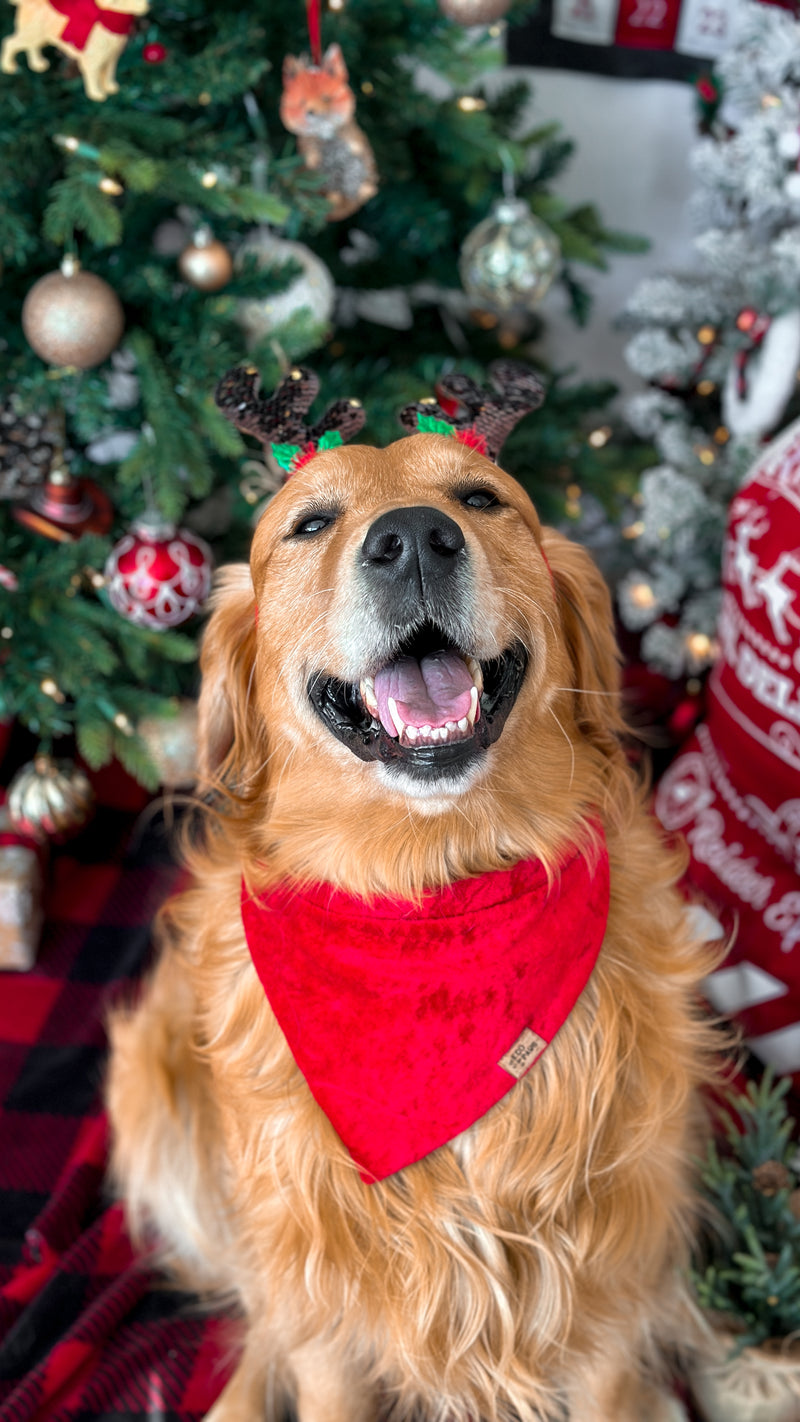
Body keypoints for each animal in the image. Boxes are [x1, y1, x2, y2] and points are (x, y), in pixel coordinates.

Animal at [105, 366, 719, 1422]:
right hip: (154, 1083)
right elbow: (307, 1342)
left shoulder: (605, 1285)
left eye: (481, 499)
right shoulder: (328, 1307)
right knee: (262, 1317)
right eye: (310, 523)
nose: (415, 539)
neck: (429, 890)